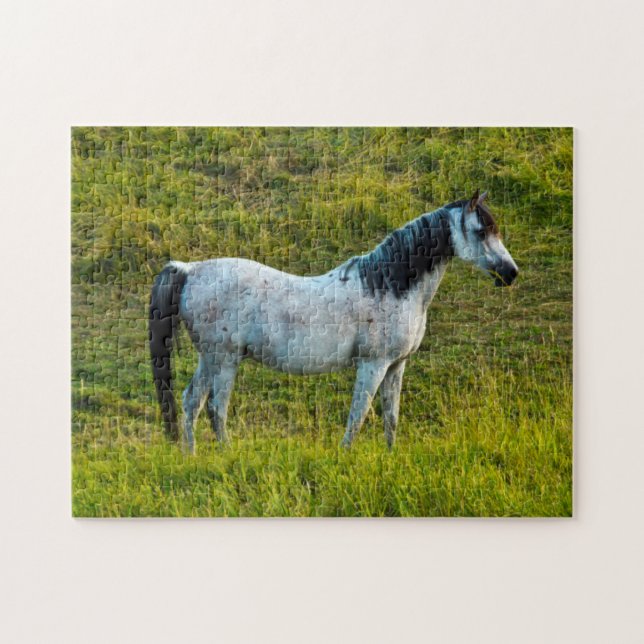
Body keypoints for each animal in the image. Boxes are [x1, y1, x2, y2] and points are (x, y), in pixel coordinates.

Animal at [149, 190, 519, 452]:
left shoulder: (396, 365)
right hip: (224, 360)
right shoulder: (373, 364)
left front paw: (390, 456)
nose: (511, 273)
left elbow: (391, 416)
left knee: (191, 402)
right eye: (480, 231)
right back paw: (226, 454)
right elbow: (359, 413)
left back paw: (191, 455)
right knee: (216, 408)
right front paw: (346, 455)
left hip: (210, 359)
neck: (388, 286)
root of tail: (190, 269)